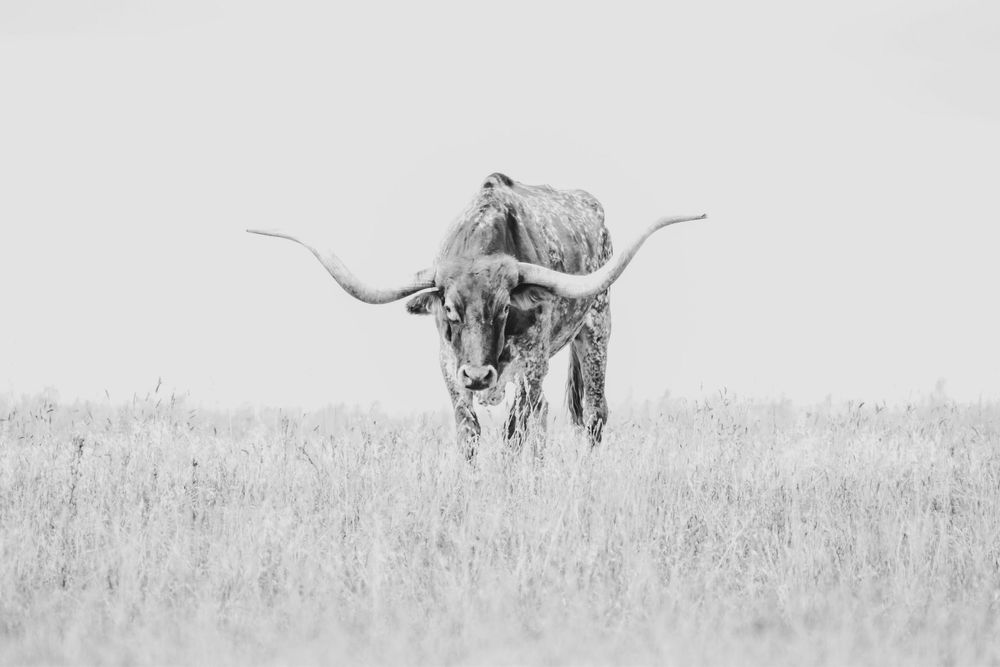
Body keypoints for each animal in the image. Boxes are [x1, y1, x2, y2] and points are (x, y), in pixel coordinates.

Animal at [248, 173, 704, 458]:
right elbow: (469, 430)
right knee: (544, 416)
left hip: (596, 328)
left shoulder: (532, 362)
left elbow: (514, 433)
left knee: (591, 414)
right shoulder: (448, 363)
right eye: (450, 309)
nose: (479, 376)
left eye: (504, 308)